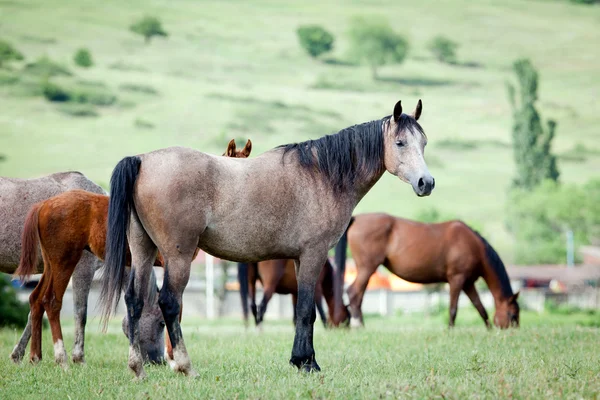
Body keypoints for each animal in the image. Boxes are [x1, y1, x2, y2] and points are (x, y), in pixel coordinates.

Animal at [0, 172, 164, 366]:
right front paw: (78, 357)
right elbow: (80, 312)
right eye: (161, 323)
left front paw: (19, 354)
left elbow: (33, 311)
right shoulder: (83, 269)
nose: (160, 360)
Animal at [101, 100, 434, 378]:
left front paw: (301, 359)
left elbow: (304, 311)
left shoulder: (300, 259)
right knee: (169, 302)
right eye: (400, 142)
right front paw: (308, 364)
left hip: (143, 249)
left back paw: (137, 368)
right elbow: (306, 311)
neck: (321, 176)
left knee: (134, 300)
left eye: (424, 143)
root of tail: (142, 160)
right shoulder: (313, 255)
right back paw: (185, 367)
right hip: (178, 256)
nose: (426, 182)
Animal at [332, 214, 520, 330]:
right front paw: (450, 330)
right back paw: (359, 325)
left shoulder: (468, 283)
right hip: (367, 267)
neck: (473, 245)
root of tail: (356, 219)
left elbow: (480, 307)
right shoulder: (456, 279)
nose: (514, 331)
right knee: (354, 292)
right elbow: (453, 308)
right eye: (513, 314)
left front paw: (488, 328)